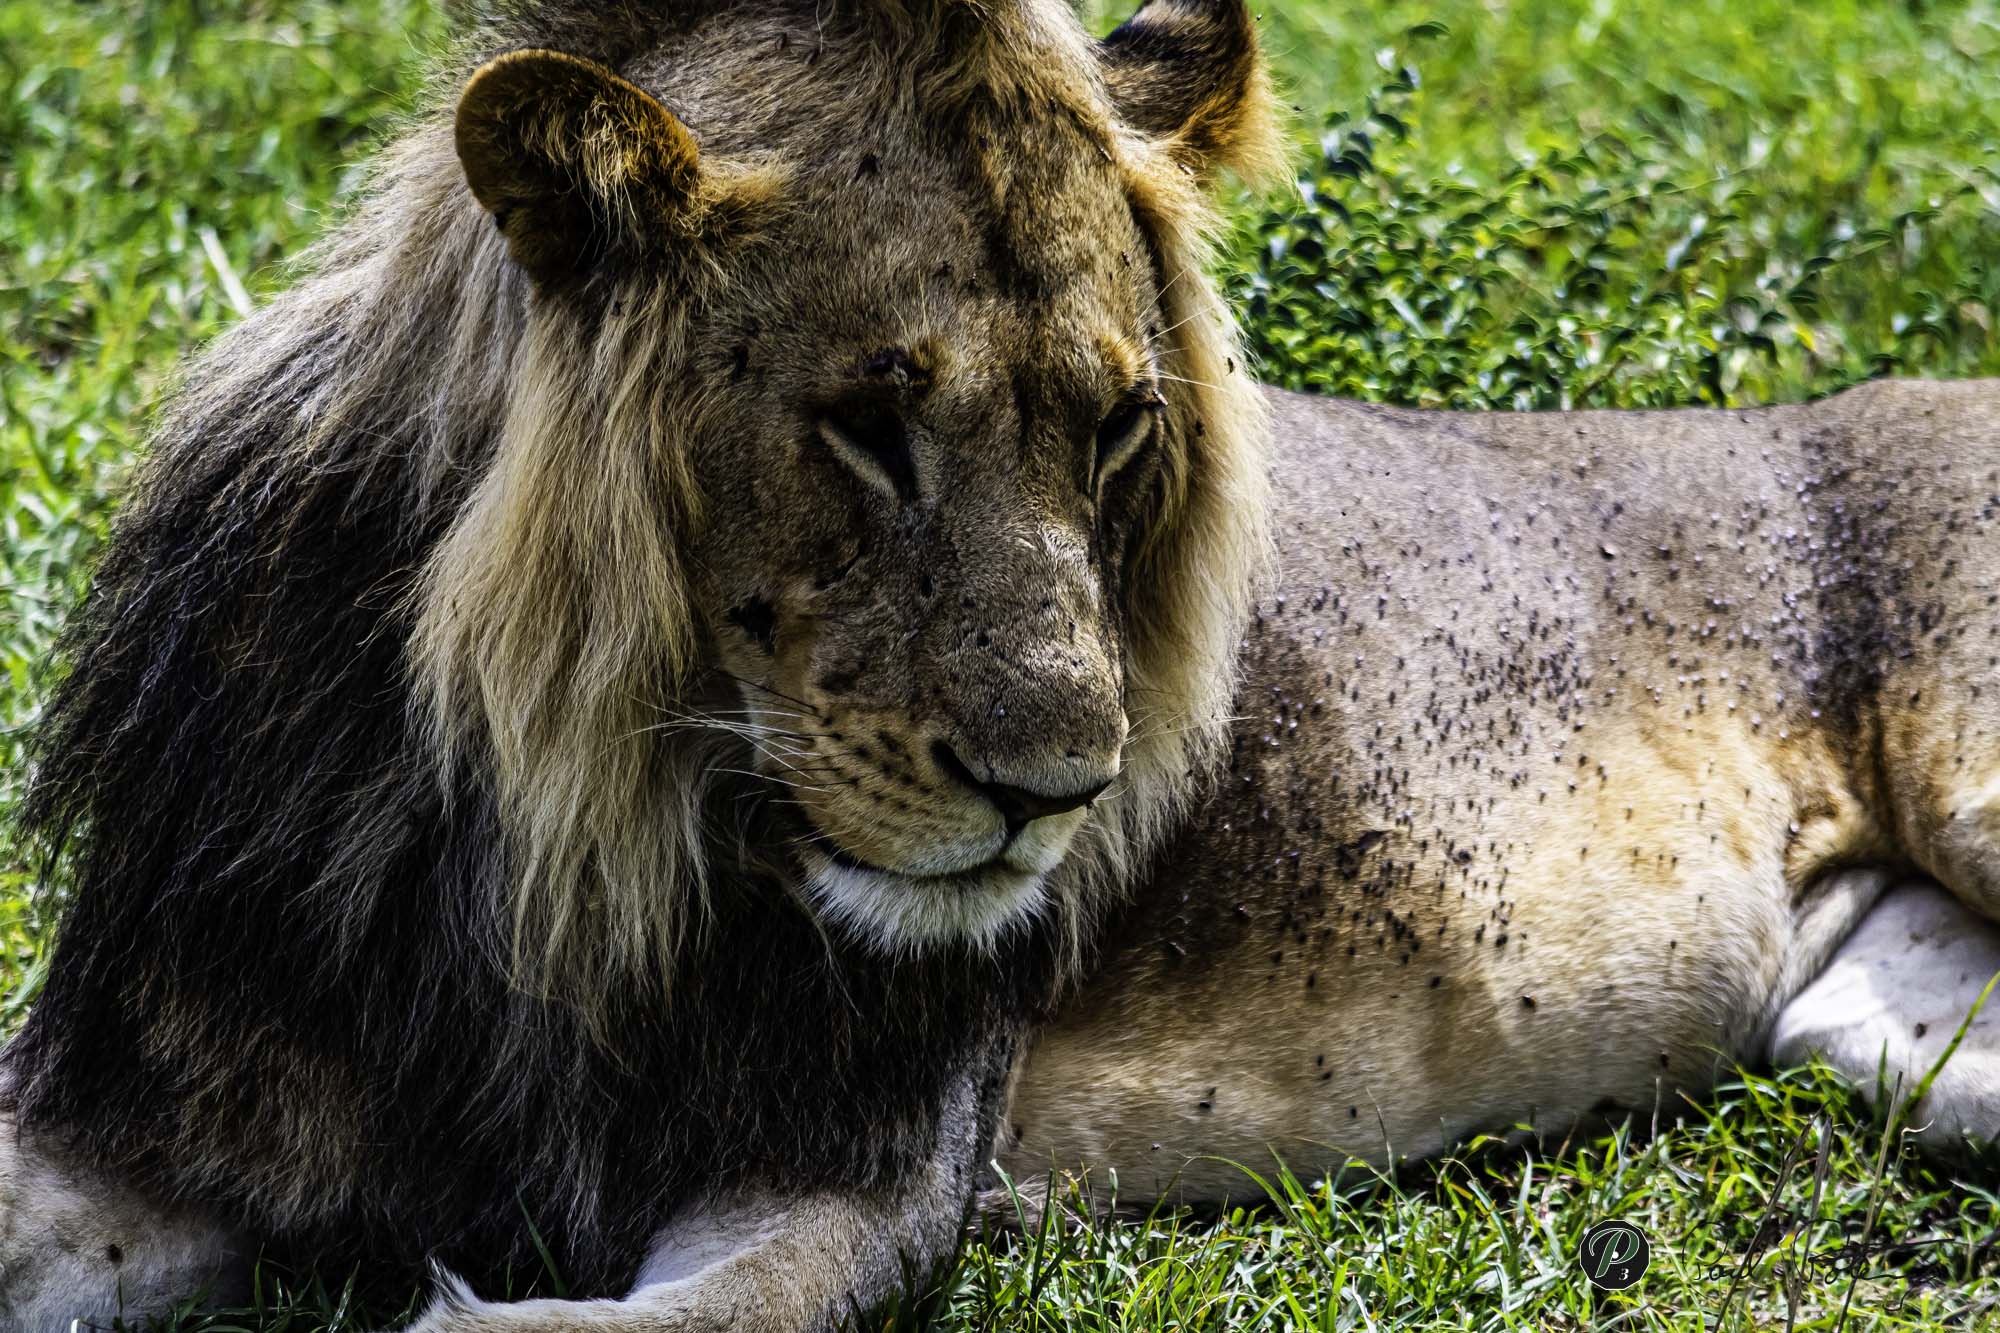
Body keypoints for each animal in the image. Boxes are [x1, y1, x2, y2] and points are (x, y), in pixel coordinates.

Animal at [2, 0, 1998, 1329]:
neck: (552, 859)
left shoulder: (859, 1183)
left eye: (1117, 428)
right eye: (866, 425)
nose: (1059, 796)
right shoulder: (124, 1111)